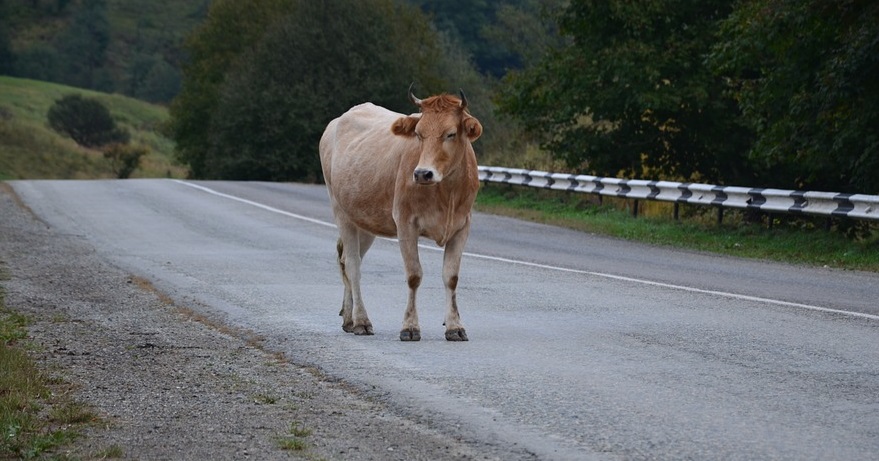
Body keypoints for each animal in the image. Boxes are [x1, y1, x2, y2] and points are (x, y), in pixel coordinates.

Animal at [320, 84, 482, 340]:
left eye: (450, 134)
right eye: (419, 133)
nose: (422, 173)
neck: (446, 193)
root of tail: (338, 121)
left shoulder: (462, 226)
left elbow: (451, 277)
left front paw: (455, 326)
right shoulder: (406, 223)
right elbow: (414, 275)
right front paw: (410, 326)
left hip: (365, 220)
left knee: (347, 260)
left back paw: (349, 318)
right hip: (341, 211)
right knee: (353, 265)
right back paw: (361, 321)